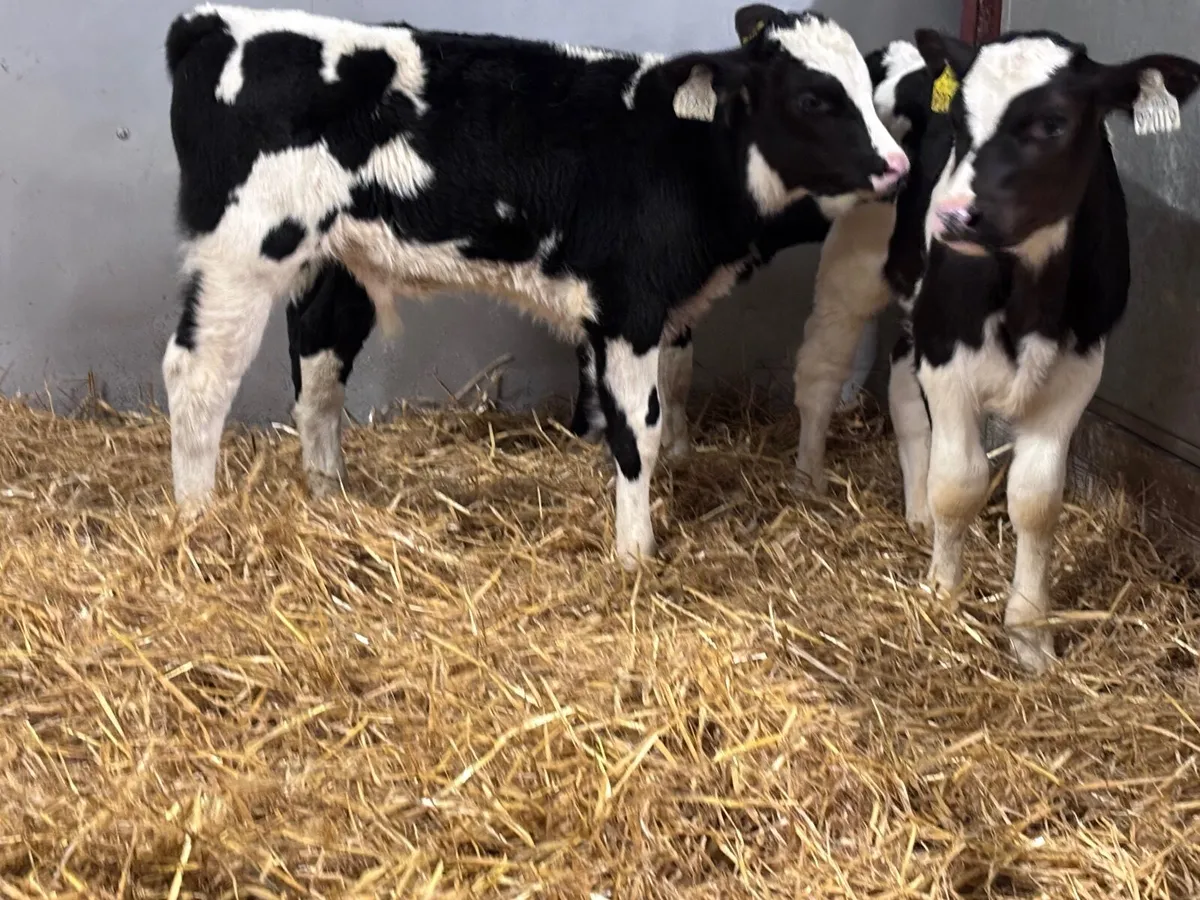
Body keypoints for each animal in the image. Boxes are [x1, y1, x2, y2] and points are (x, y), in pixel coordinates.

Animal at [162, 3, 910, 568]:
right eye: (814, 98)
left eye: (869, 90)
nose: (898, 165)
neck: (685, 152)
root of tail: (212, 21)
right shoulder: (628, 307)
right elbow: (636, 428)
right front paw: (635, 551)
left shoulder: (662, 309)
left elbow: (671, 388)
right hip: (242, 253)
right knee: (198, 376)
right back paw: (197, 516)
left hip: (337, 260)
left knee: (318, 364)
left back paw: (328, 495)